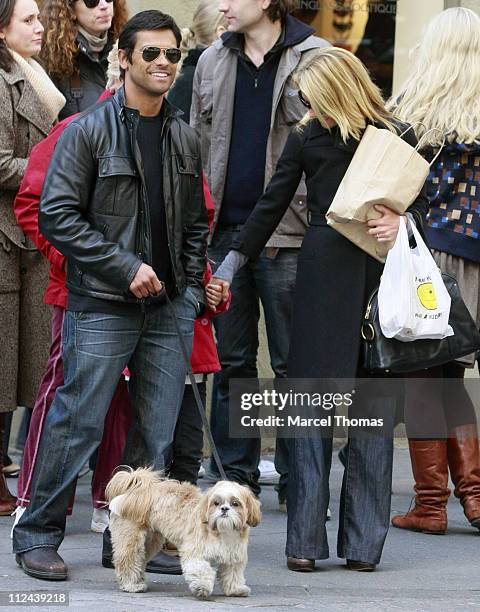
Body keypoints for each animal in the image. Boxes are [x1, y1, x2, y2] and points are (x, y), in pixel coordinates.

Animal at [106, 468, 262, 596]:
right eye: (216, 503)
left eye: (235, 503)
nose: (224, 509)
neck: (221, 531)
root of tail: (137, 490)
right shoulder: (194, 552)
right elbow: (201, 569)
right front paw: (202, 587)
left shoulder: (233, 556)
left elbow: (232, 574)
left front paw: (236, 589)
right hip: (130, 538)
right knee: (128, 560)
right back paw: (131, 585)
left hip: (150, 541)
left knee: (140, 560)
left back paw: (138, 580)